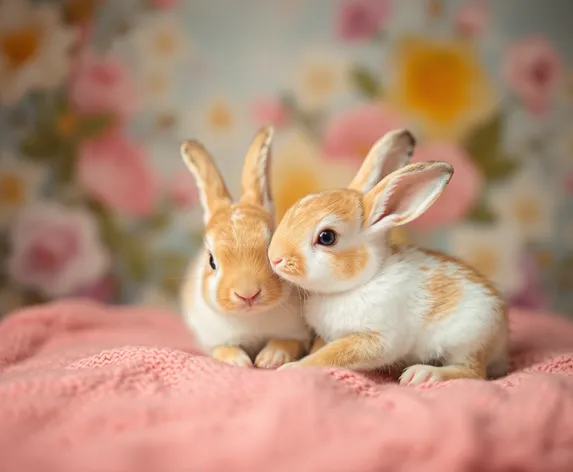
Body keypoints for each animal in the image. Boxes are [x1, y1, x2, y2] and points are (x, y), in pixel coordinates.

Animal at [180, 125, 312, 368]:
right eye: (211, 261)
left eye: (270, 246)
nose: (248, 294)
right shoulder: (213, 340)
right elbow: (222, 349)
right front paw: (239, 362)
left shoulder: (298, 335)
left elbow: (287, 343)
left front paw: (269, 358)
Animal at [266, 128, 508, 384]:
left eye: (326, 237)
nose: (274, 258)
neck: (359, 283)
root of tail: (502, 338)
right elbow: (320, 349)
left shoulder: (376, 339)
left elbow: (330, 355)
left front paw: (292, 367)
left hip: (468, 340)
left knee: (473, 372)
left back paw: (422, 374)